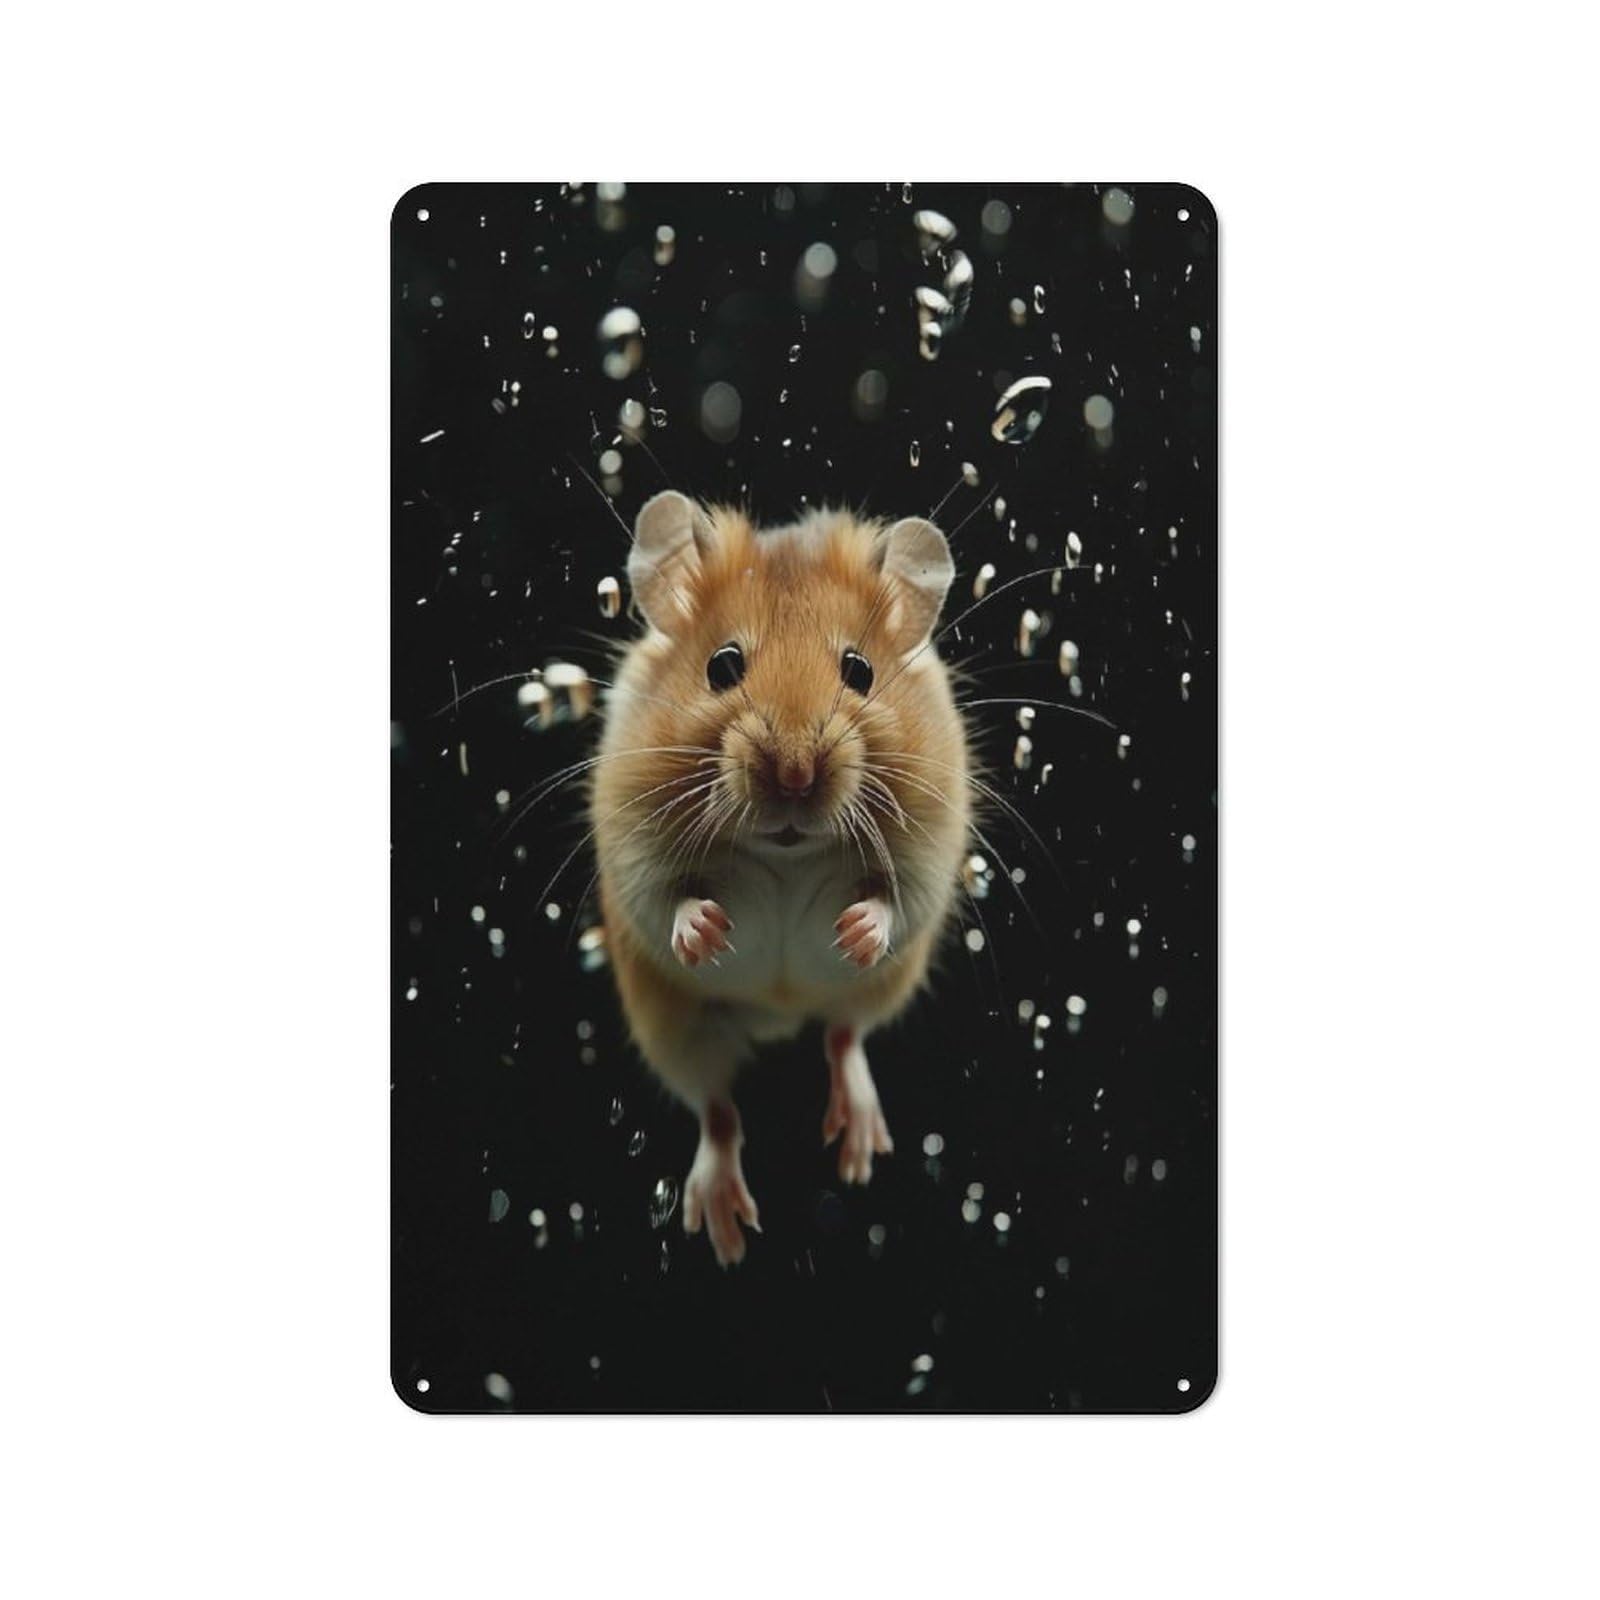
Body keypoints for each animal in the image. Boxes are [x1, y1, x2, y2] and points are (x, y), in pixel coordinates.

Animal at [593, 491, 970, 1265]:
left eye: (859, 671)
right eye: (722, 666)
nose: (796, 776)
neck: (787, 850)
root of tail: (779, 1014)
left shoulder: (933, 833)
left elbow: (895, 898)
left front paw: (853, 930)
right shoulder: (627, 832)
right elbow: (667, 897)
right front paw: (710, 932)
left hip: (881, 988)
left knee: (843, 1036)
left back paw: (859, 1152)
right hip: (673, 1026)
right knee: (717, 1111)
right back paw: (725, 1231)